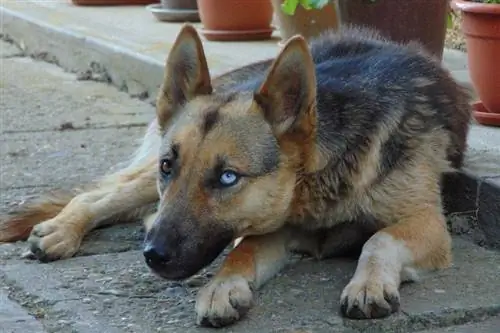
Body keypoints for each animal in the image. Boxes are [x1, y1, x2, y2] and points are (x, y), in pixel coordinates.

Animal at [0, 24, 472, 326]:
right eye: (170, 167)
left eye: (228, 178)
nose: (153, 256)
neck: (318, 180)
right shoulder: (274, 228)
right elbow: (242, 250)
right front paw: (222, 286)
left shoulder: (426, 222)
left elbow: (378, 240)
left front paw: (368, 283)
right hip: (143, 183)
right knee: (97, 196)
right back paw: (61, 230)